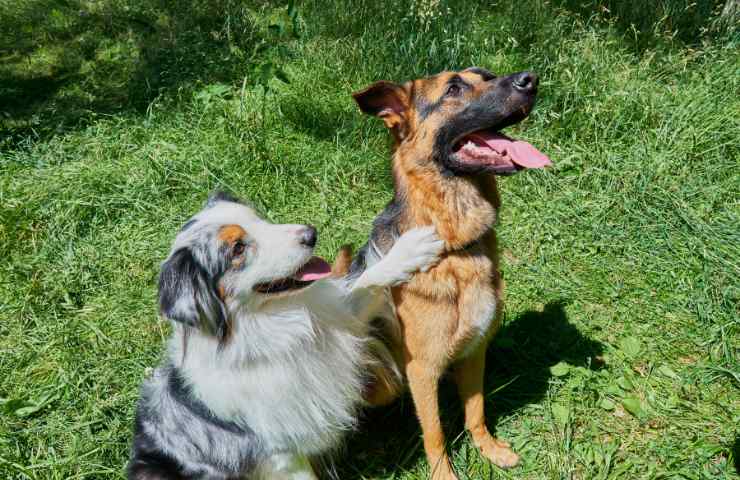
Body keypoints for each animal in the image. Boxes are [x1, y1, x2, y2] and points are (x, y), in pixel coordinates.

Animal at [346, 68, 548, 480]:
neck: (456, 247)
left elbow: (476, 411)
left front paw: (489, 449)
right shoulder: (422, 371)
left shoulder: (474, 351)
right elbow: (435, 433)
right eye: (453, 88)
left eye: (486, 75)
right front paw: (444, 474)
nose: (530, 78)